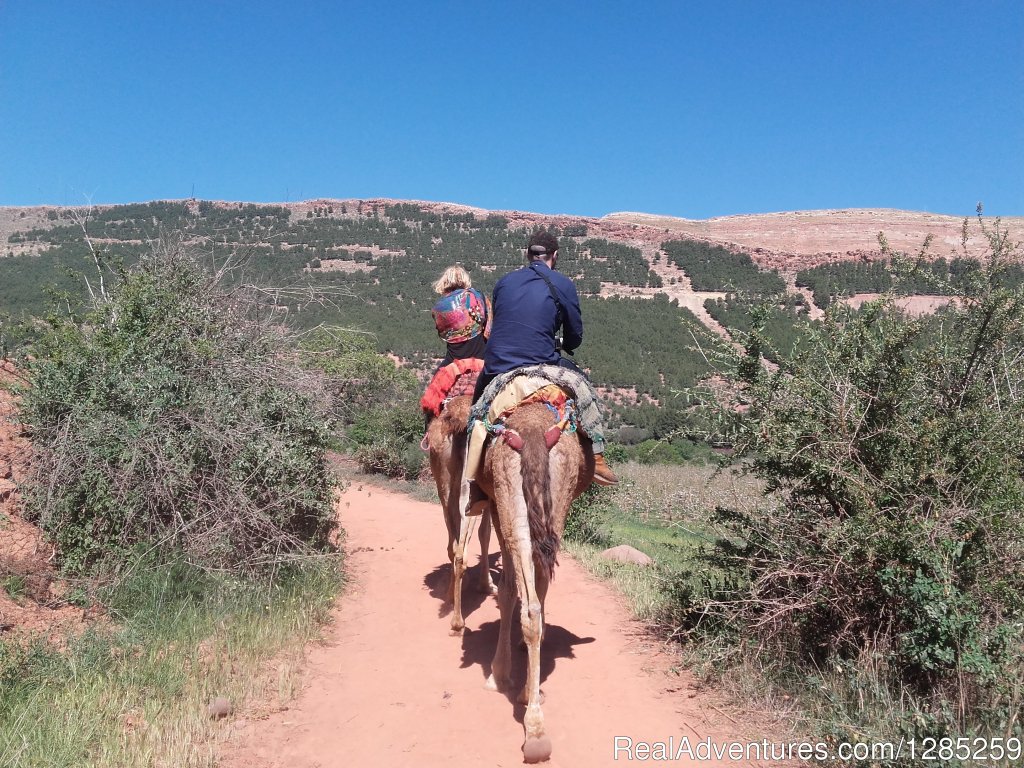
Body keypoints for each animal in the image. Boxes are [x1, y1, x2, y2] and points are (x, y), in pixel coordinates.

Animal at [425, 393, 497, 634]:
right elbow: (485, 535)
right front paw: (487, 585)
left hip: (444, 485)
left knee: (452, 545)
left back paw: (450, 600)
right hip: (469, 486)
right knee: (461, 552)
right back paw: (458, 621)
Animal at [473, 397, 593, 765]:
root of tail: (533, 428)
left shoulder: (496, 506)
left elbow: (509, 590)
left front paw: (501, 672)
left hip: (511, 502)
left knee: (527, 603)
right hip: (550, 504)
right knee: (534, 607)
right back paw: (534, 720)